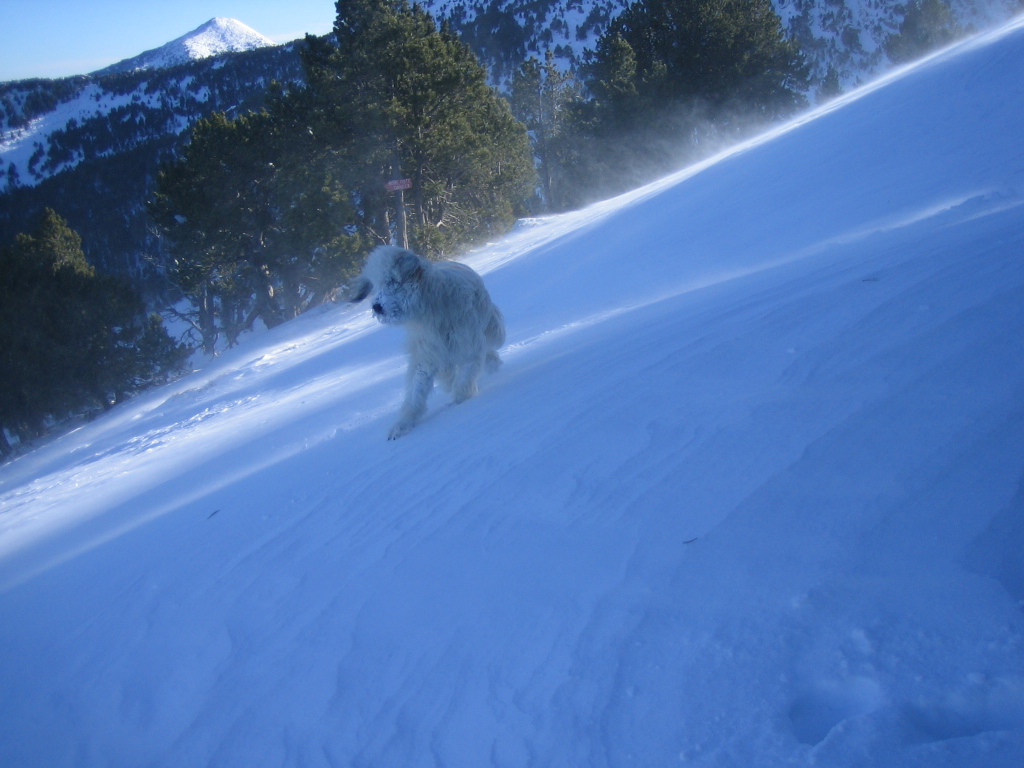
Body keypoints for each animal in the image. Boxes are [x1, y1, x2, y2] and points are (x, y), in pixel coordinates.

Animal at [348, 246, 503, 438]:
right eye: (376, 285)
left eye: (392, 280)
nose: (376, 307)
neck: (432, 311)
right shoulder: (426, 357)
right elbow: (416, 393)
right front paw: (402, 425)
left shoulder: (468, 346)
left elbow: (464, 380)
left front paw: (461, 401)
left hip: (492, 329)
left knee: (489, 348)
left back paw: (493, 365)